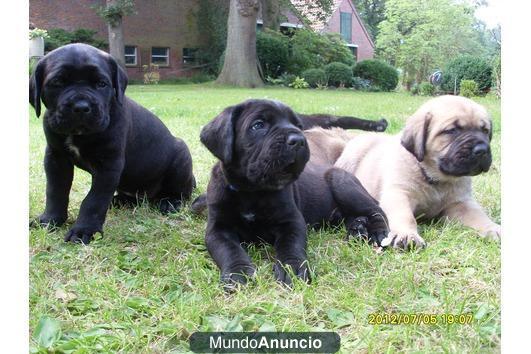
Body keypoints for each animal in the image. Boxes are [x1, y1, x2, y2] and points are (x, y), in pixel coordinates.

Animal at [29, 43, 195, 243]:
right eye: (57, 83)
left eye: (102, 84)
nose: (81, 107)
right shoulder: (56, 159)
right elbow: (55, 191)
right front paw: (49, 220)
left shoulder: (109, 164)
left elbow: (94, 199)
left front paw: (84, 230)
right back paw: (118, 200)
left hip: (181, 156)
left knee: (182, 193)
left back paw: (170, 203)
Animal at [202, 99, 388, 288]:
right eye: (258, 125)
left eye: (298, 126)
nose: (298, 140)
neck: (252, 191)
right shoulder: (218, 229)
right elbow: (229, 250)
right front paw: (237, 273)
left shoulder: (291, 221)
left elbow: (290, 245)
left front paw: (292, 268)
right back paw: (358, 228)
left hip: (341, 183)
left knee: (376, 210)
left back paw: (377, 232)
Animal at [332, 95, 502, 248]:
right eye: (452, 130)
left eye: (485, 130)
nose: (482, 150)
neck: (434, 177)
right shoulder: (399, 193)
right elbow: (405, 216)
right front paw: (406, 235)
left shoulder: (461, 203)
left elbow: (479, 216)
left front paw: (494, 228)